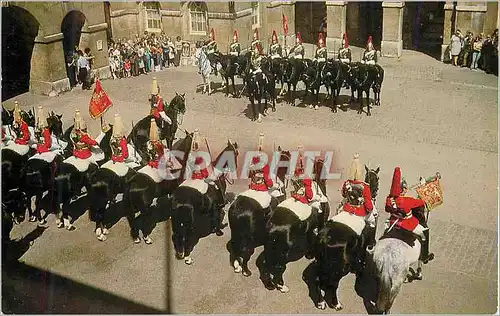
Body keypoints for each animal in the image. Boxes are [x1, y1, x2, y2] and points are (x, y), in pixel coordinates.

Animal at [227, 146, 290, 276]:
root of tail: (237, 209)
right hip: (247, 238)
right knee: (246, 252)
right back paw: (246, 271)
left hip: (235, 232)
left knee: (235, 248)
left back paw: (237, 266)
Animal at [308, 165, 378, 312]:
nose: (375, 213)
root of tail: (324, 239)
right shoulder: (362, 247)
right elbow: (361, 258)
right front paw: (360, 270)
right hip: (338, 268)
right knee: (333, 284)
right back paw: (336, 303)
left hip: (320, 262)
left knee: (317, 280)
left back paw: (321, 302)